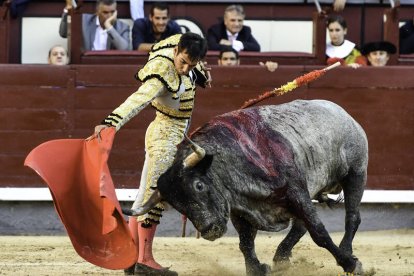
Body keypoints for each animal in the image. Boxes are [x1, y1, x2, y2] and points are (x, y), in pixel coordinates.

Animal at [124, 99, 368, 276]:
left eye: (199, 185)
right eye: (176, 205)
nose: (209, 230)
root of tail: (343, 113)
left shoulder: (296, 192)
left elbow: (319, 232)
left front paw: (349, 264)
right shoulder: (239, 209)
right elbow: (245, 242)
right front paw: (257, 269)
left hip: (356, 173)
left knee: (352, 217)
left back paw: (347, 252)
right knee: (300, 226)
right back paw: (281, 258)